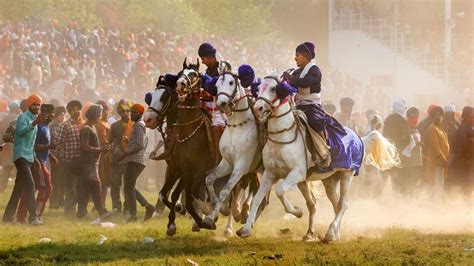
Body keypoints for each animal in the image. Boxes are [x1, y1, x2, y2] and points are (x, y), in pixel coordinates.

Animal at [235, 74, 398, 242]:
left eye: (274, 88)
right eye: (259, 88)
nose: (257, 108)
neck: (282, 136)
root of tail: (359, 138)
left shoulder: (297, 173)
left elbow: (280, 191)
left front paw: (297, 211)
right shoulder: (270, 174)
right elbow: (257, 199)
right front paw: (245, 229)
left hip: (346, 175)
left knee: (342, 204)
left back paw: (330, 233)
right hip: (330, 181)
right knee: (336, 203)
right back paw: (335, 234)